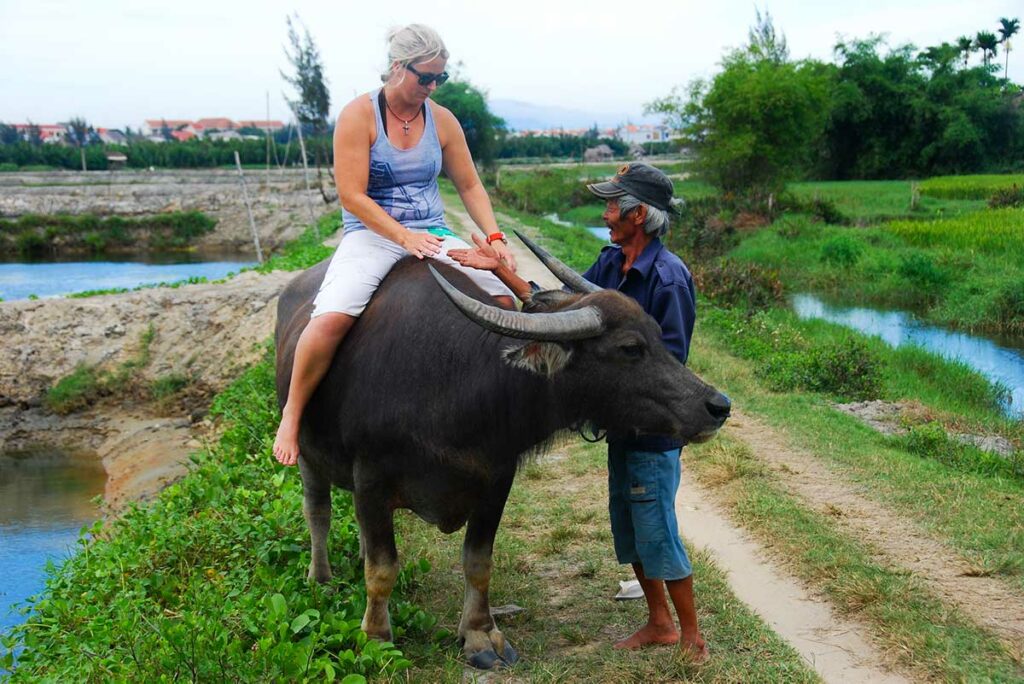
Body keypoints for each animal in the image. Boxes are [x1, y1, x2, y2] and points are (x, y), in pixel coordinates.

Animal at [276, 235, 733, 667]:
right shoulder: (372, 479)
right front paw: (376, 638)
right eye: (630, 348)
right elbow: (383, 568)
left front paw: (479, 635)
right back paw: (321, 577)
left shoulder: (496, 482)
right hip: (307, 456)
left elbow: (478, 563)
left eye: (660, 334)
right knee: (318, 512)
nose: (719, 405)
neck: (449, 381)